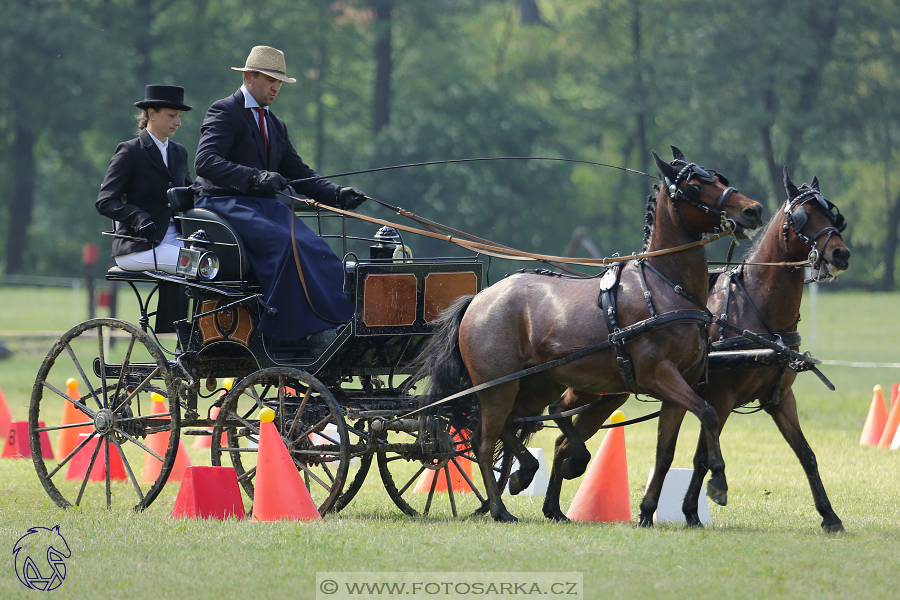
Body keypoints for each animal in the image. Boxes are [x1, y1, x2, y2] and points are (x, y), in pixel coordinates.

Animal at [414, 148, 760, 524]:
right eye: (695, 186)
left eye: (722, 179)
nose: (753, 210)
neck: (666, 286)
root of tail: (478, 299)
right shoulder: (661, 376)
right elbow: (709, 413)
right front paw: (719, 482)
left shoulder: (680, 385)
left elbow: (666, 452)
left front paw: (648, 512)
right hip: (497, 386)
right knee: (484, 439)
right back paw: (499, 508)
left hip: (535, 385)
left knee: (515, 423)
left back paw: (530, 480)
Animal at [540, 168, 852, 528]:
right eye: (803, 216)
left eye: (834, 217)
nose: (841, 254)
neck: (758, 310)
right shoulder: (721, 396)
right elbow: (702, 455)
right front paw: (697, 504)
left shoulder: (780, 398)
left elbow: (806, 453)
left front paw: (829, 515)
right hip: (595, 391)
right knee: (557, 425)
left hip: (606, 396)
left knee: (561, 438)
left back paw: (553, 506)